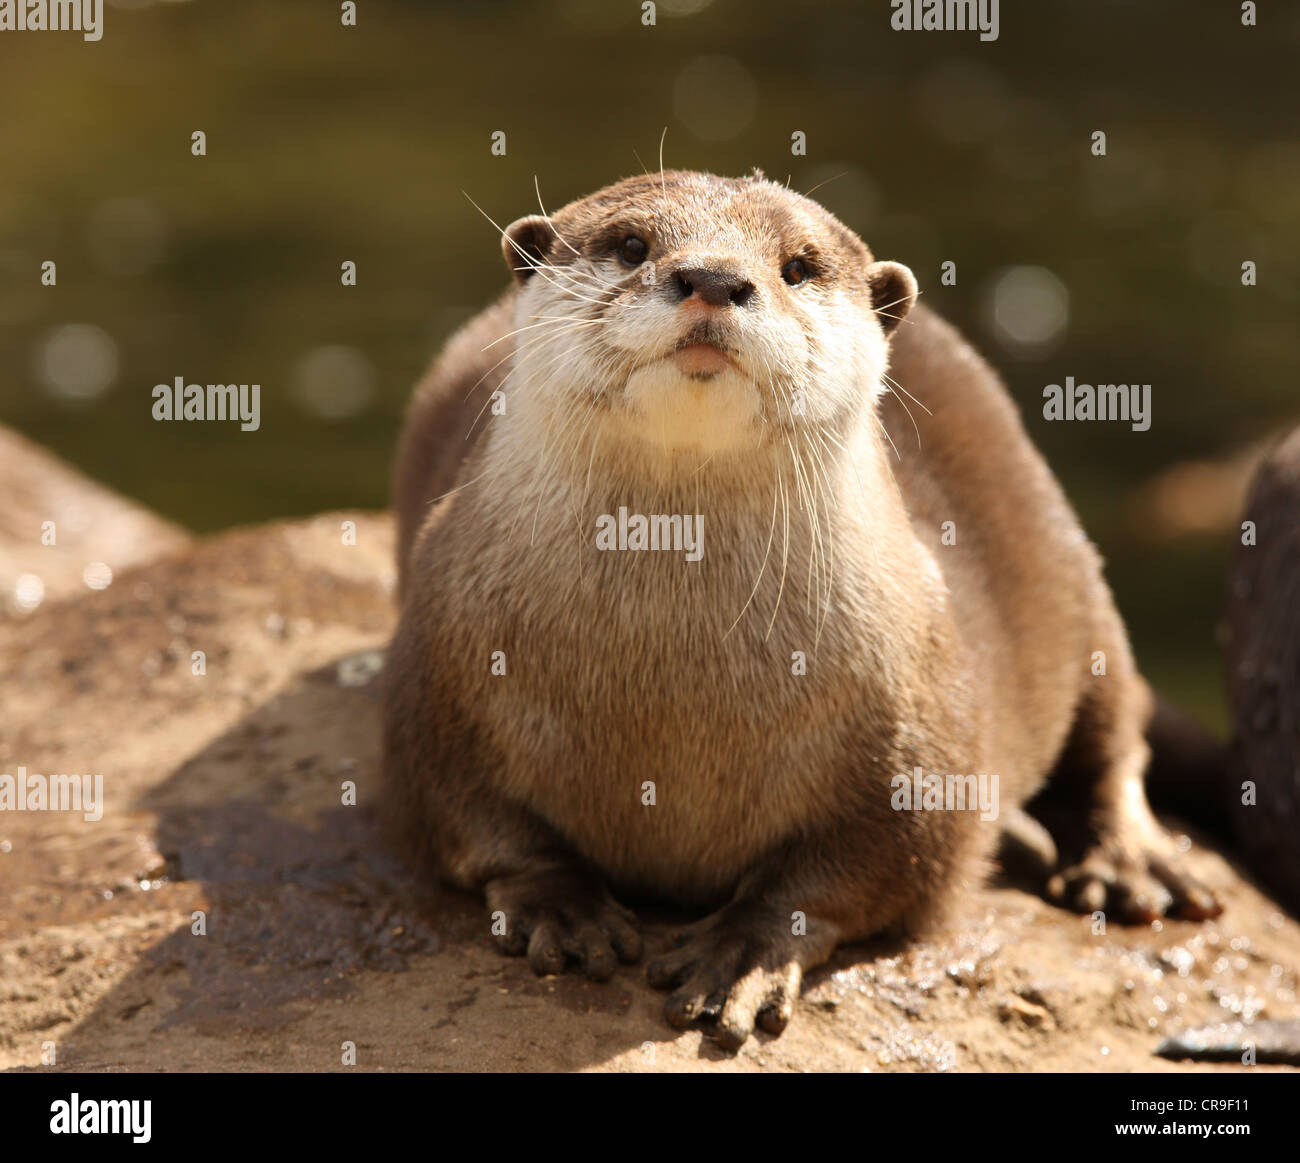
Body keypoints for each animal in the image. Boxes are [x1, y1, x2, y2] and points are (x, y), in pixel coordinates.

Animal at [381, 169, 1220, 1049]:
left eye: (798, 265)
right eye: (633, 244)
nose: (715, 278)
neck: (676, 692)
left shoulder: (921, 732)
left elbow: (870, 866)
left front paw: (744, 950)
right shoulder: (436, 688)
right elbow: (468, 817)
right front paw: (563, 904)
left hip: (1069, 563)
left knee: (1112, 730)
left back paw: (1131, 864)